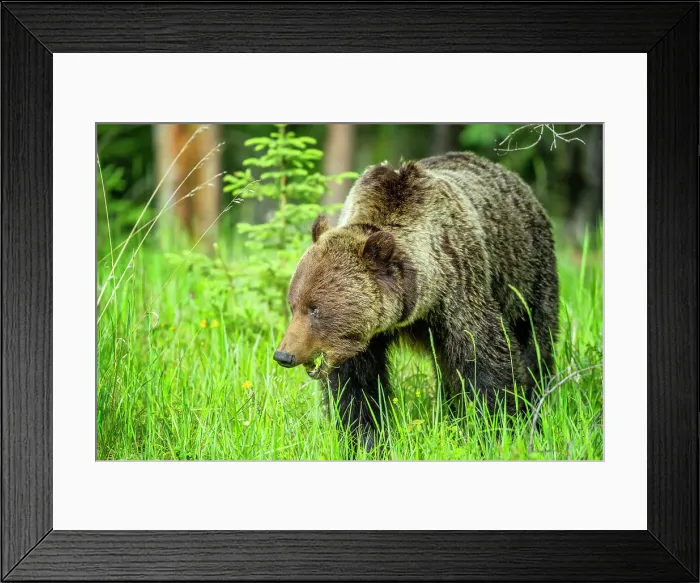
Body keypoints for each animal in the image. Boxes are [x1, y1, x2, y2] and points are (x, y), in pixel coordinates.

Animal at [273, 151, 559, 450]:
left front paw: (497, 427)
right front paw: (364, 438)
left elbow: (487, 358)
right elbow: (356, 387)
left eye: (314, 308)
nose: (284, 355)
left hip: (528, 275)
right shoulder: (366, 339)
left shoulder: (460, 289)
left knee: (536, 341)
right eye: (293, 305)